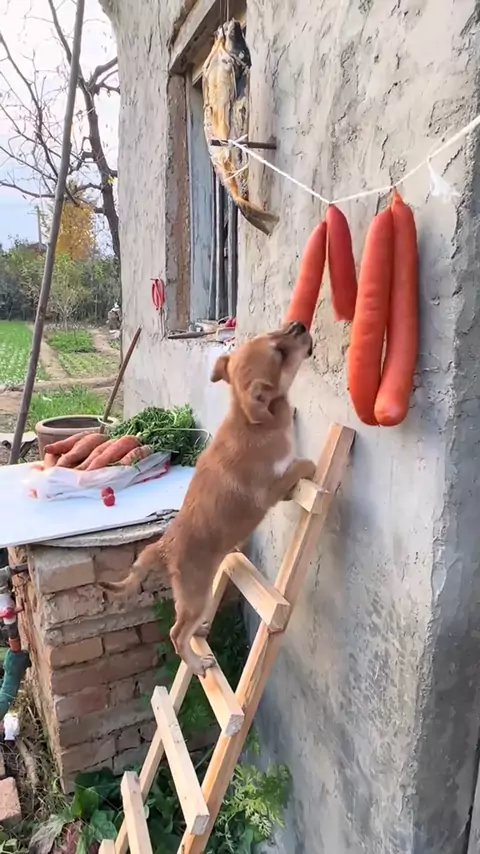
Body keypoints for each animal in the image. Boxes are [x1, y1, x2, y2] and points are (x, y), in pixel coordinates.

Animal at [100, 321, 315, 676]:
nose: (298, 324)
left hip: (190, 598)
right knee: (176, 633)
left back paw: (200, 633)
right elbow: (296, 467)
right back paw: (197, 662)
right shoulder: (273, 489)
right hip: (197, 596)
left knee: (185, 627)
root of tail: (163, 548)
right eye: (279, 352)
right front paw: (308, 463)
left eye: (275, 334)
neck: (249, 419)